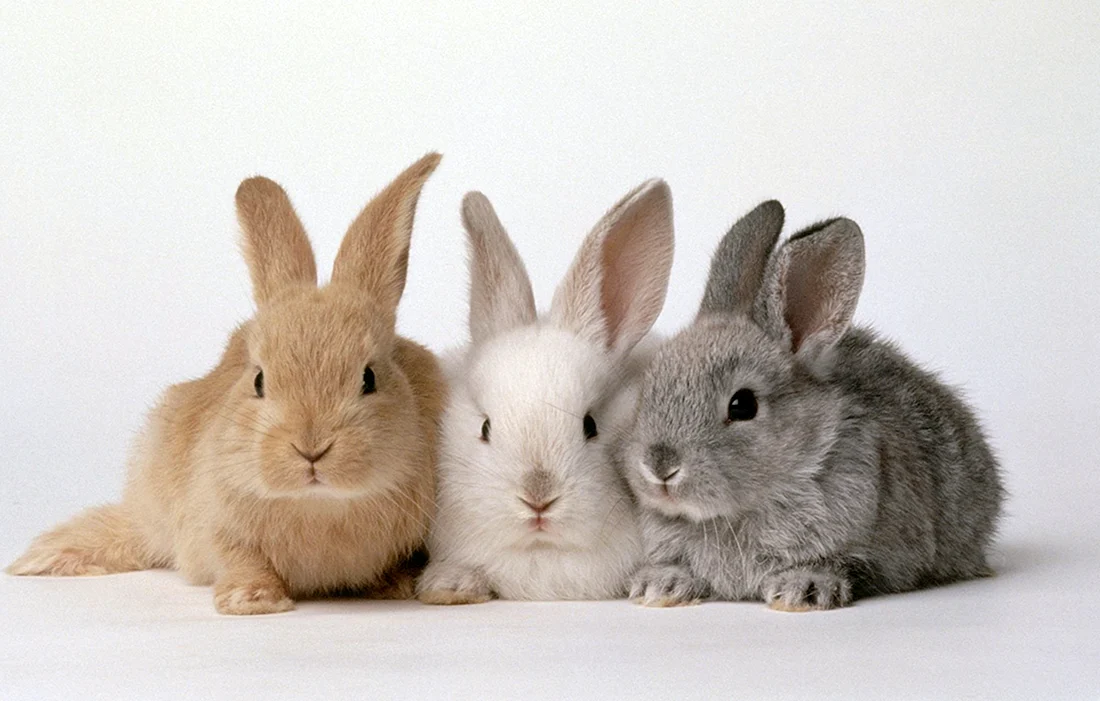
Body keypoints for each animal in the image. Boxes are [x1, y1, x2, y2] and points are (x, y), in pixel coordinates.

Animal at [7, 154, 447, 615]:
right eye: (258, 380)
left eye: (369, 377)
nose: (311, 448)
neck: (319, 505)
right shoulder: (216, 523)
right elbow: (240, 557)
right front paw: (251, 600)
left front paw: (394, 585)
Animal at [620, 200, 1004, 611]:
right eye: (649, 387)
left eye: (742, 405)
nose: (660, 466)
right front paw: (660, 586)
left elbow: (838, 564)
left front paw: (801, 590)